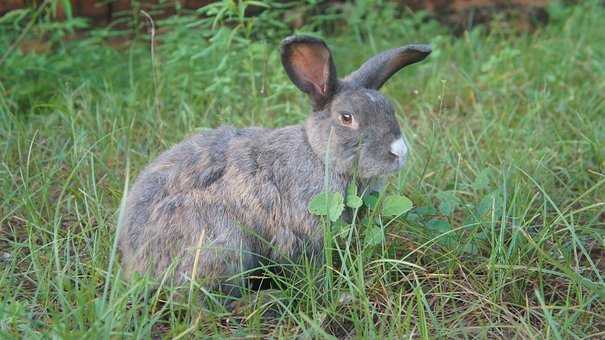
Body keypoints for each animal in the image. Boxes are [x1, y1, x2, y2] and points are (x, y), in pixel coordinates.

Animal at [118, 33, 430, 294]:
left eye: (389, 109)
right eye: (346, 117)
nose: (400, 151)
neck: (317, 154)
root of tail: (135, 262)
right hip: (224, 241)